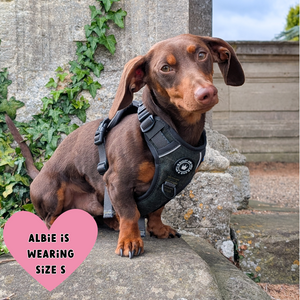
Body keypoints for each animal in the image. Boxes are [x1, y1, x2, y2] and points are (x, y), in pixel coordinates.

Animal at [6, 33, 244, 258]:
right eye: (165, 68)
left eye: (202, 55)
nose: (206, 93)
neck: (164, 129)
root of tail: (39, 174)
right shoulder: (116, 182)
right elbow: (131, 213)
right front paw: (130, 241)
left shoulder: (166, 187)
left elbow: (156, 210)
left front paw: (158, 229)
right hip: (53, 191)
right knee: (49, 218)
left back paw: (112, 221)